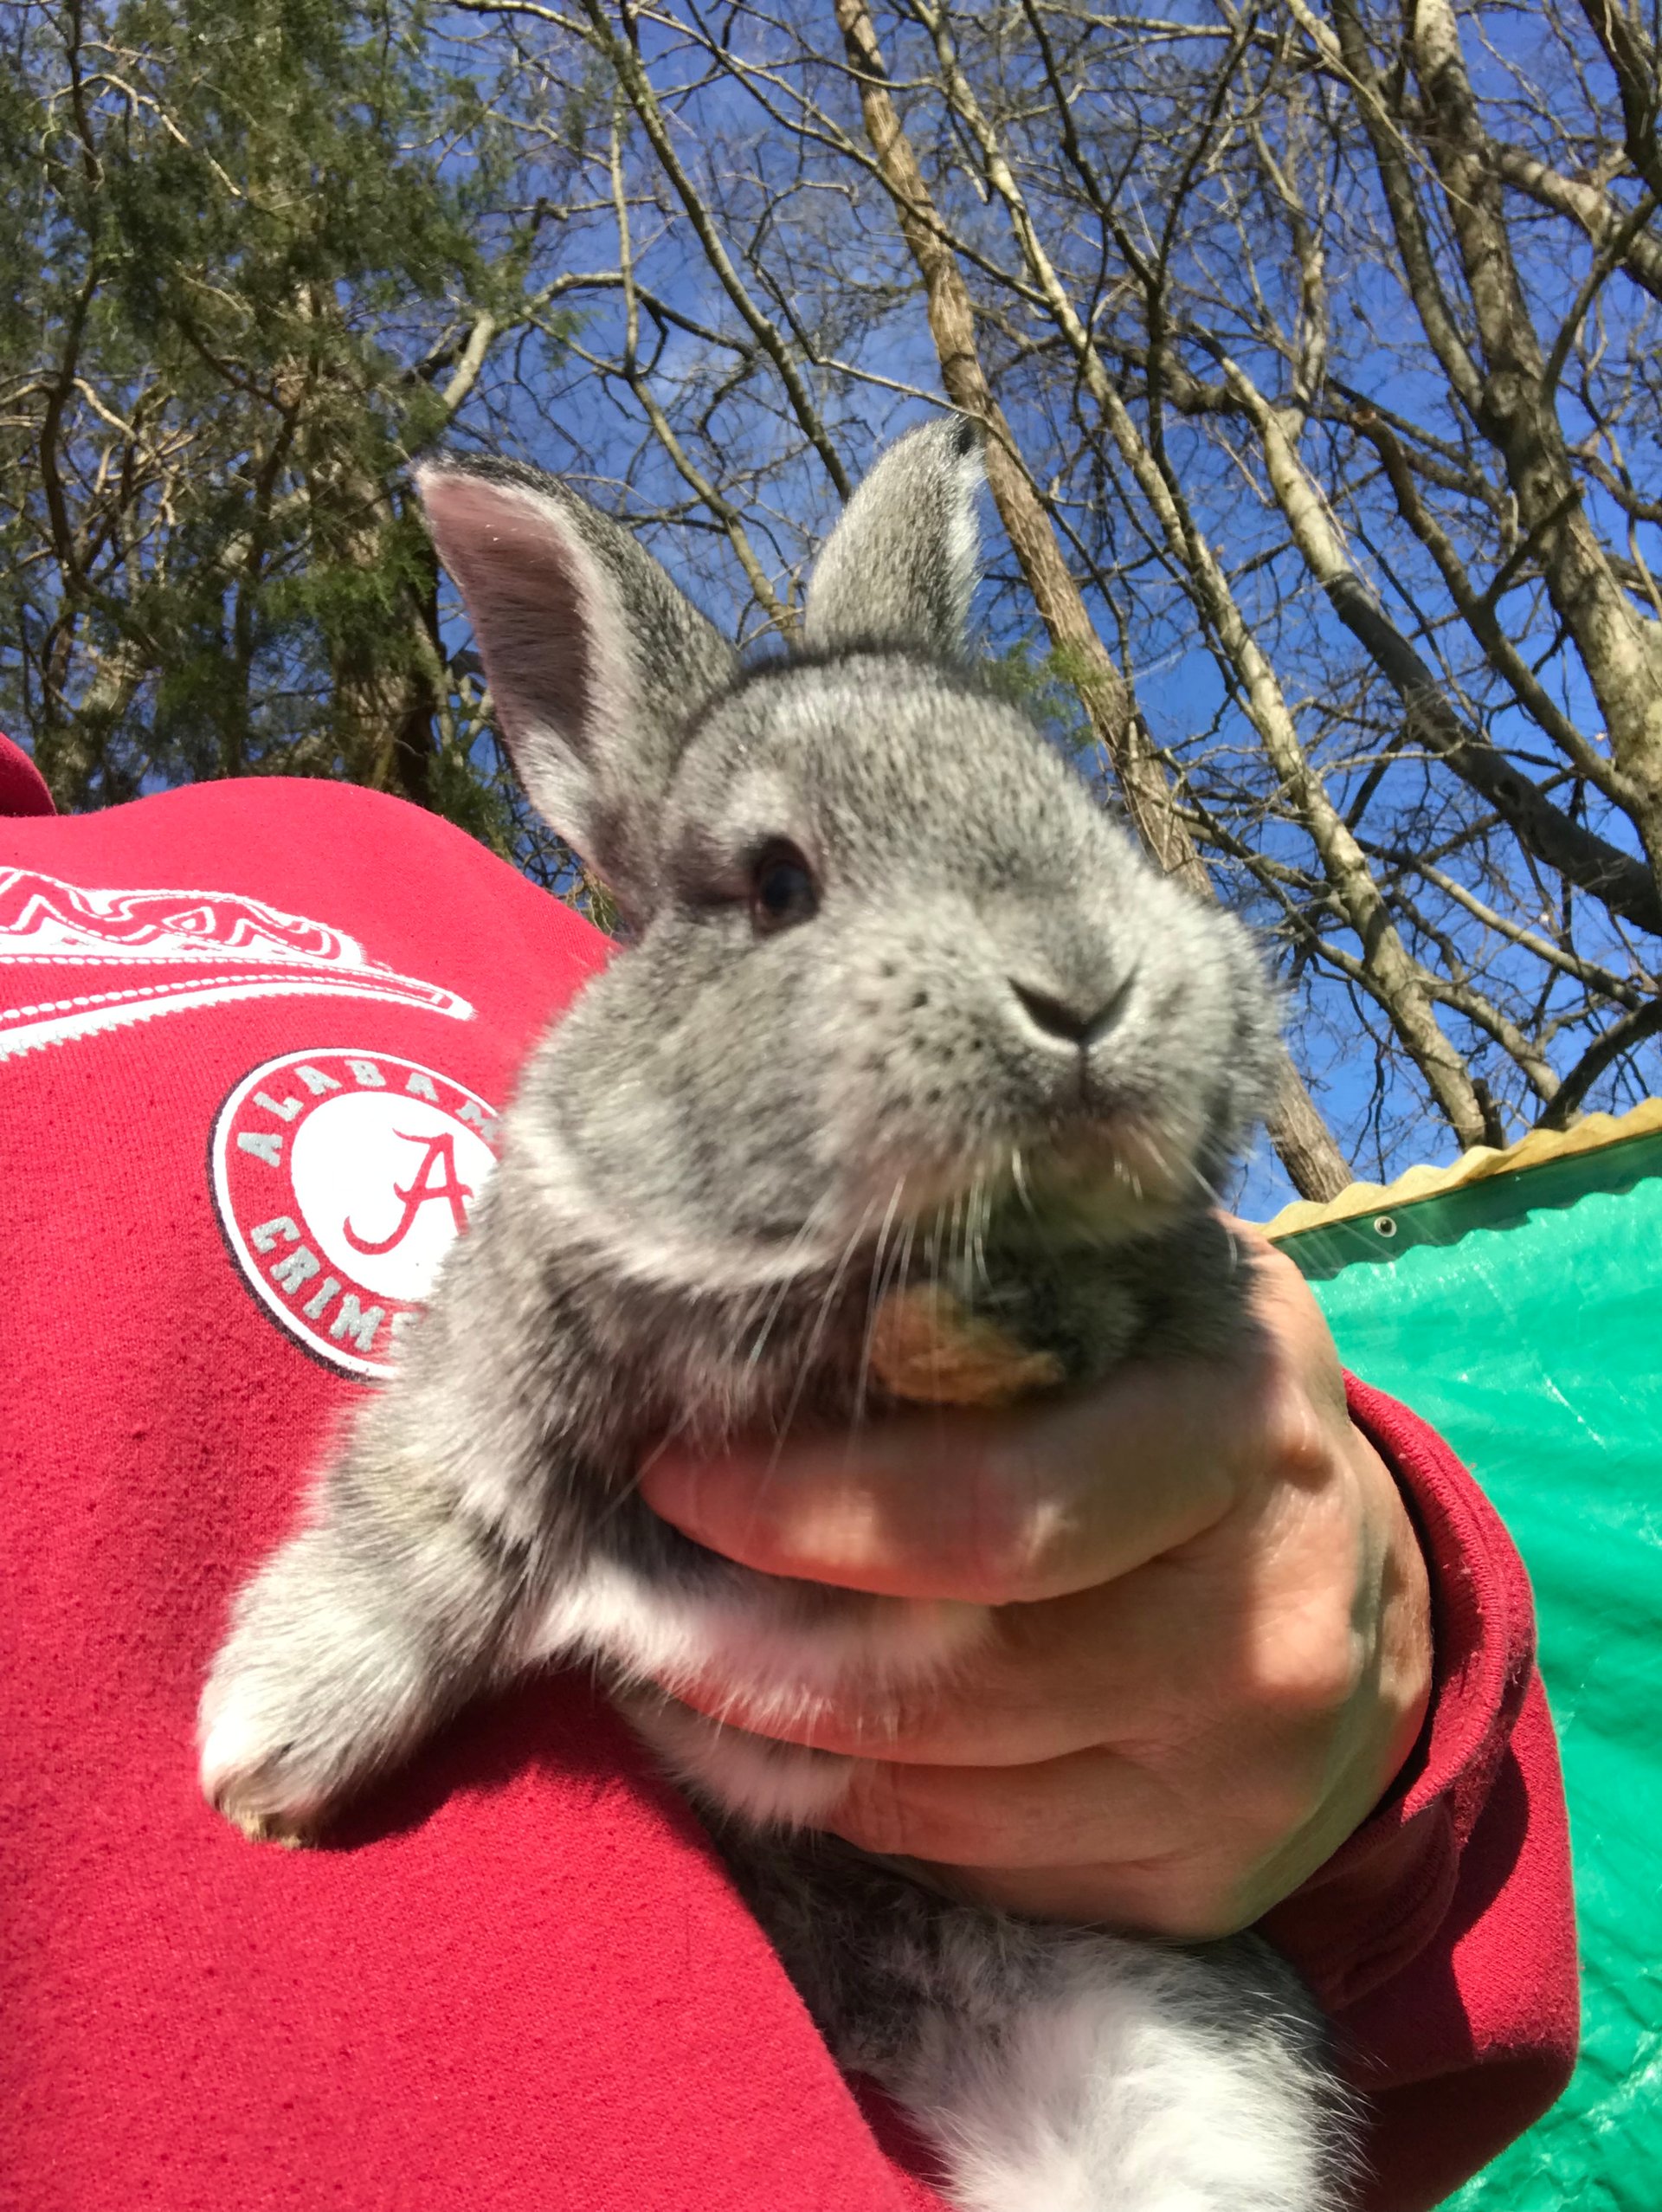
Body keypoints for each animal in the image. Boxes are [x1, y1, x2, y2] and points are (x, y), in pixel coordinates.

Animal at [199, 418, 1353, 2212]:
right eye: (777, 884)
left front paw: (979, 1331)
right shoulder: (507, 1349)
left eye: (1076, 812)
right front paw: (263, 1751)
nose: (1087, 989)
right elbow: (435, 1522)